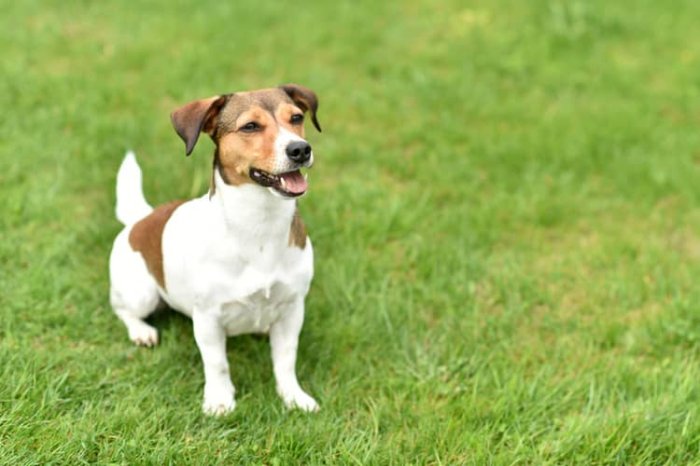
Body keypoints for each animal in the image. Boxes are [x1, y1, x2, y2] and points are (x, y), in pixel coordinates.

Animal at [108, 83, 322, 416]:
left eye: (297, 118)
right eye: (250, 126)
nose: (300, 149)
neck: (259, 225)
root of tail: (141, 218)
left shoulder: (292, 309)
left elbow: (286, 360)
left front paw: (293, 397)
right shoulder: (208, 318)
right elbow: (217, 363)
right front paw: (220, 400)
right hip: (141, 294)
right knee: (123, 310)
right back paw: (142, 331)